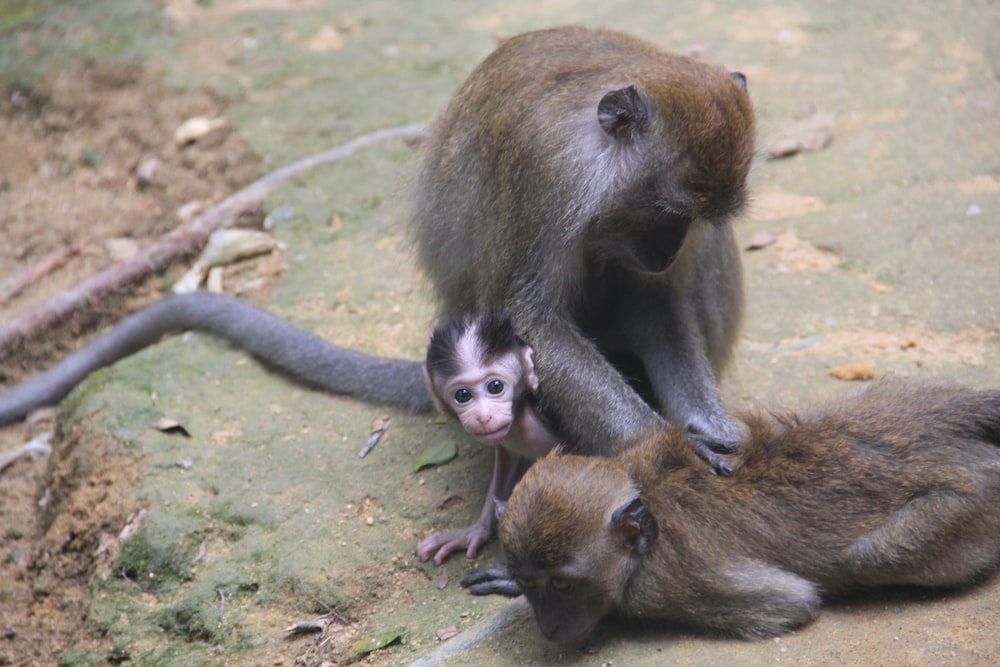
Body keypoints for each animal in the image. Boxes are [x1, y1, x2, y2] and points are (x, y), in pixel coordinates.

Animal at [0, 24, 752, 470]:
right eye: (666, 210)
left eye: (692, 218)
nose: (666, 251)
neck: (597, 160)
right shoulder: (546, 173)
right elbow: (532, 319)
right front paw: (666, 443)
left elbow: (655, 302)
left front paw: (705, 423)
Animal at [464, 380, 1000, 648]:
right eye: (533, 585)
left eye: (562, 585)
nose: (549, 628)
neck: (648, 499)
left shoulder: (669, 582)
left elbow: (791, 603)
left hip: (977, 501)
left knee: (870, 558)